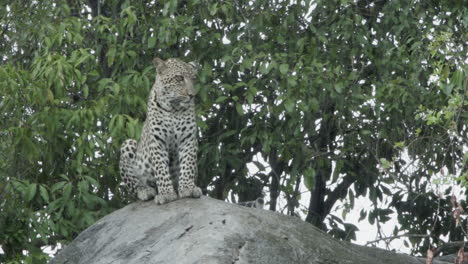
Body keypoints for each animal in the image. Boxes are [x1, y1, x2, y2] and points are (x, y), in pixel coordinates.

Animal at [119, 57, 201, 205]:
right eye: (179, 78)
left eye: (194, 79)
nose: (192, 95)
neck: (174, 109)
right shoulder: (157, 141)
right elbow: (161, 168)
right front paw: (166, 193)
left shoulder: (188, 139)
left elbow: (188, 164)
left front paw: (188, 188)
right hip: (128, 144)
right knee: (135, 186)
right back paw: (146, 191)